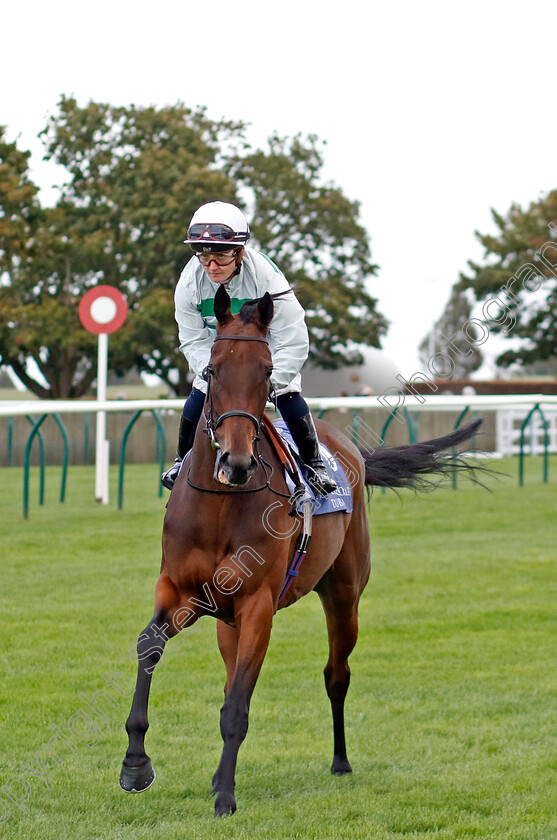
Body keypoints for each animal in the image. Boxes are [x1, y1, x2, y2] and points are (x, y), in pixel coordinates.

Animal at [119, 286, 480, 816]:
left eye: (267, 371)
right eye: (212, 370)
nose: (237, 462)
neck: (221, 505)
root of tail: (351, 451)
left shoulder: (258, 605)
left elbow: (238, 707)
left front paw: (225, 797)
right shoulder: (180, 592)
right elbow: (150, 647)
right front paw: (135, 766)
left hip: (344, 596)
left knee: (336, 674)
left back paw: (340, 761)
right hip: (228, 621)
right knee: (233, 677)